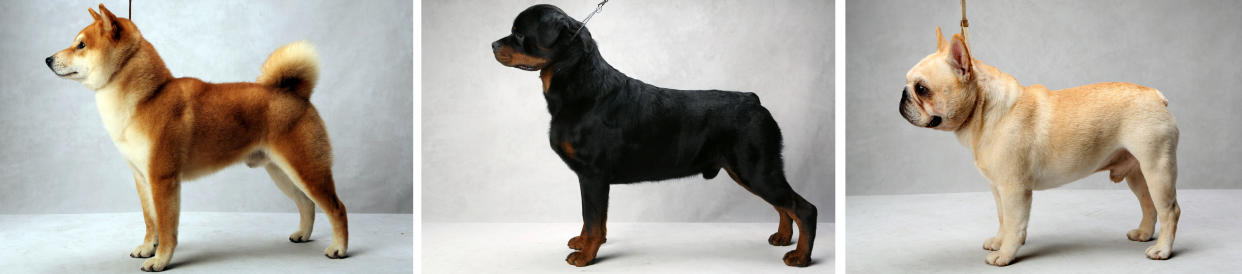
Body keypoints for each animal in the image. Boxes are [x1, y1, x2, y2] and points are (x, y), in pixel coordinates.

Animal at [45, 4, 347, 271]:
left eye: (81, 45)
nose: (47, 59)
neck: (147, 97)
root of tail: (297, 94)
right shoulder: (142, 177)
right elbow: (150, 220)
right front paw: (148, 247)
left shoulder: (163, 178)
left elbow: (166, 227)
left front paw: (160, 261)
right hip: (281, 172)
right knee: (307, 204)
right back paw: (302, 235)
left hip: (307, 169)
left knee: (336, 207)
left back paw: (339, 249)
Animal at [489, 4, 819, 266]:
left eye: (519, 34)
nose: (492, 44)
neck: (580, 85)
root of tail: (754, 100)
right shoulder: (589, 178)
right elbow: (593, 219)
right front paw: (585, 244)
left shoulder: (593, 175)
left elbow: (592, 219)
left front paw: (586, 256)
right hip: (749, 170)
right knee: (784, 206)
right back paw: (783, 238)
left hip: (755, 168)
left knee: (804, 209)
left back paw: (801, 256)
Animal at [899, 27, 1177, 265]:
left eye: (921, 89)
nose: (902, 95)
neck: (985, 110)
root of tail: (1156, 96)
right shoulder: (998, 188)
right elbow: (1003, 218)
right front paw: (999, 241)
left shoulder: (1014, 189)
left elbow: (1015, 223)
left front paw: (1005, 254)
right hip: (1137, 174)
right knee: (1149, 205)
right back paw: (1144, 234)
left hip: (1157, 169)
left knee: (1169, 210)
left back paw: (1162, 250)